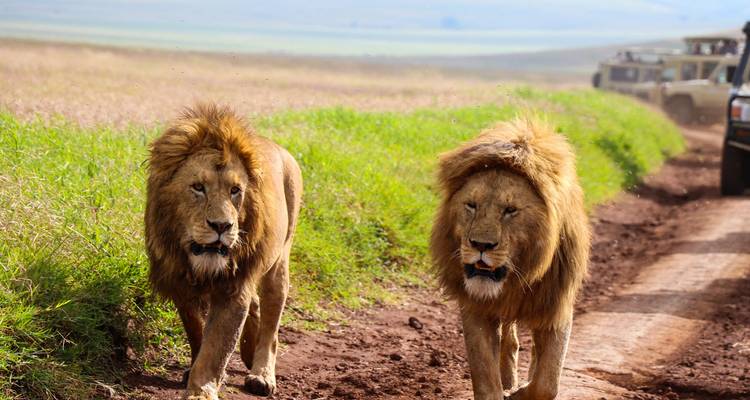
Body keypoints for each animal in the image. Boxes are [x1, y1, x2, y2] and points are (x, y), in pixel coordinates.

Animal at [145, 103, 302, 400]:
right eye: (198, 187)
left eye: (235, 191)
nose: (222, 226)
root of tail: (281, 149)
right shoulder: (179, 282)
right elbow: (196, 331)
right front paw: (193, 369)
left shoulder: (233, 286)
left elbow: (216, 349)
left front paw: (200, 390)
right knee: (255, 304)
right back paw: (249, 352)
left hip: (278, 263)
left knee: (271, 326)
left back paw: (261, 374)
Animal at [430, 118, 590, 400]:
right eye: (471, 205)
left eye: (510, 210)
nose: (481, 245)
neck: (520, 272)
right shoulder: (475, 306)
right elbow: (484, 372)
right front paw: (503, 388)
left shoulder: (556, 302)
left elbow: (547, 382)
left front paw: (521, 392)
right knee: (509, 339)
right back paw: (507, 377)